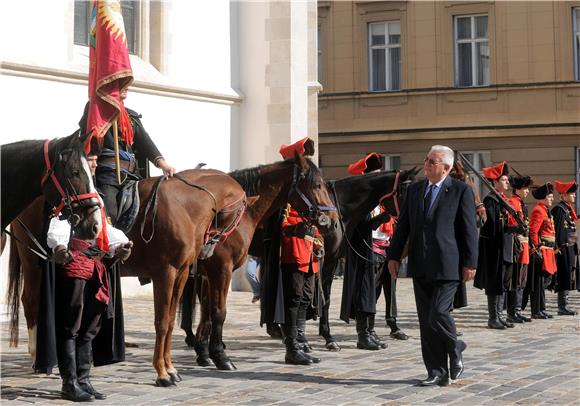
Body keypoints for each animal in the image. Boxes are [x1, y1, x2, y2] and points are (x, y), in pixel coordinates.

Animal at [7, 167, 247, 386]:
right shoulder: (166, 273)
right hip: (34, 263)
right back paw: (38, 358)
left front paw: (171, 368)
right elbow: (162, 322)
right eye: (237, 217)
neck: (184, 206)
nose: (208, 251)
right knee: (31, 303)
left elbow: (170, 321)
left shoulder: (181, 273)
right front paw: (162, 373)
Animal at [181, 156, 336, 372]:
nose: (331, 221)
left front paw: (204, 355)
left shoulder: (207, 274)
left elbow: (207, 313)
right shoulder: (221, 271)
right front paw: (220, 357)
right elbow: (218, 312)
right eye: (317, 185)